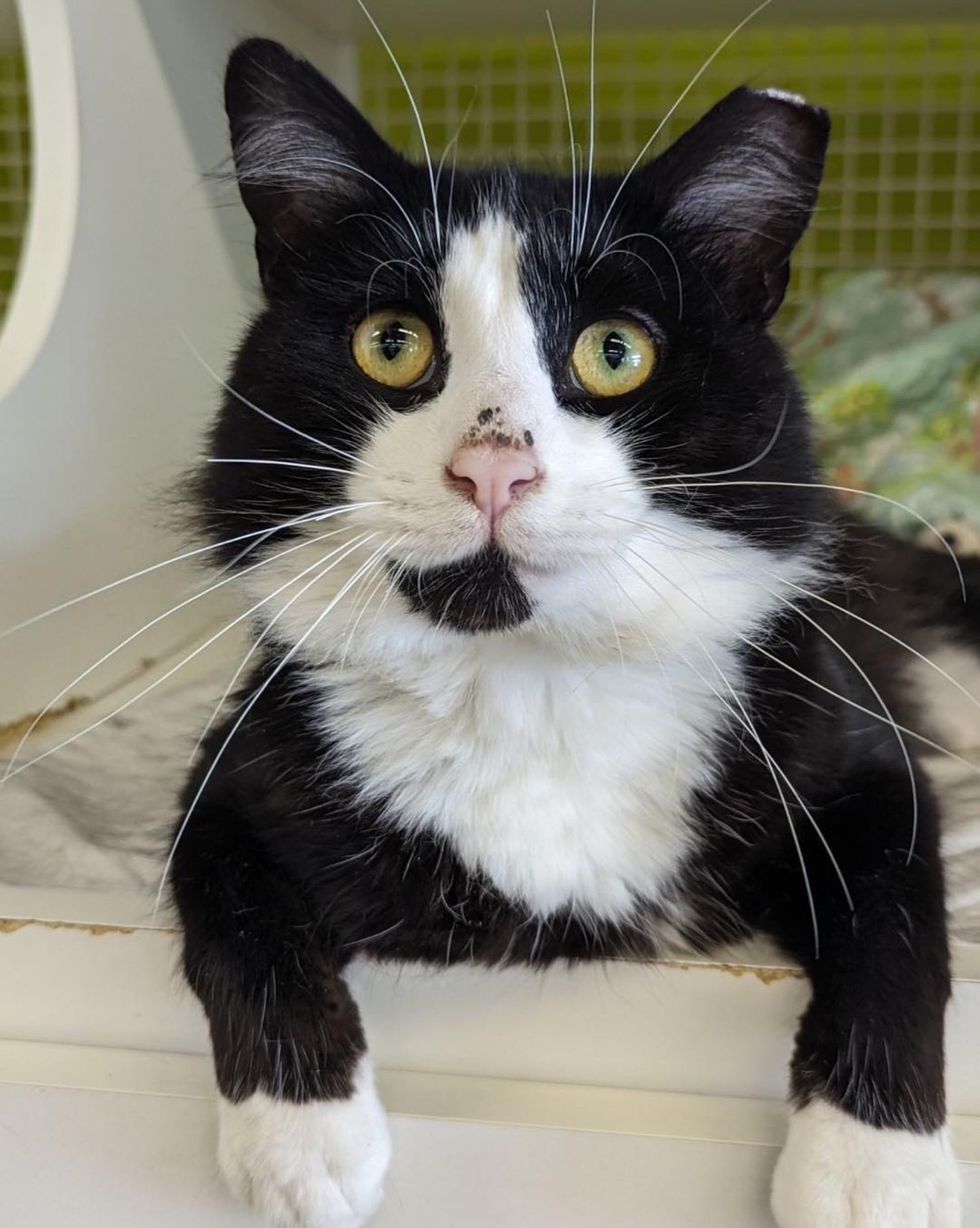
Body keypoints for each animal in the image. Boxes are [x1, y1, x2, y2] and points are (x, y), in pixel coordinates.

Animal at [170, 38, 967, 1228]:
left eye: (615, 352)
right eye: (391, 344)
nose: (492, 467)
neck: (527, 684)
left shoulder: (855, 757)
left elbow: (899, 924)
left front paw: (874, 1168)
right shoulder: (240, 767)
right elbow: (227, 899)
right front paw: (300, 1140)